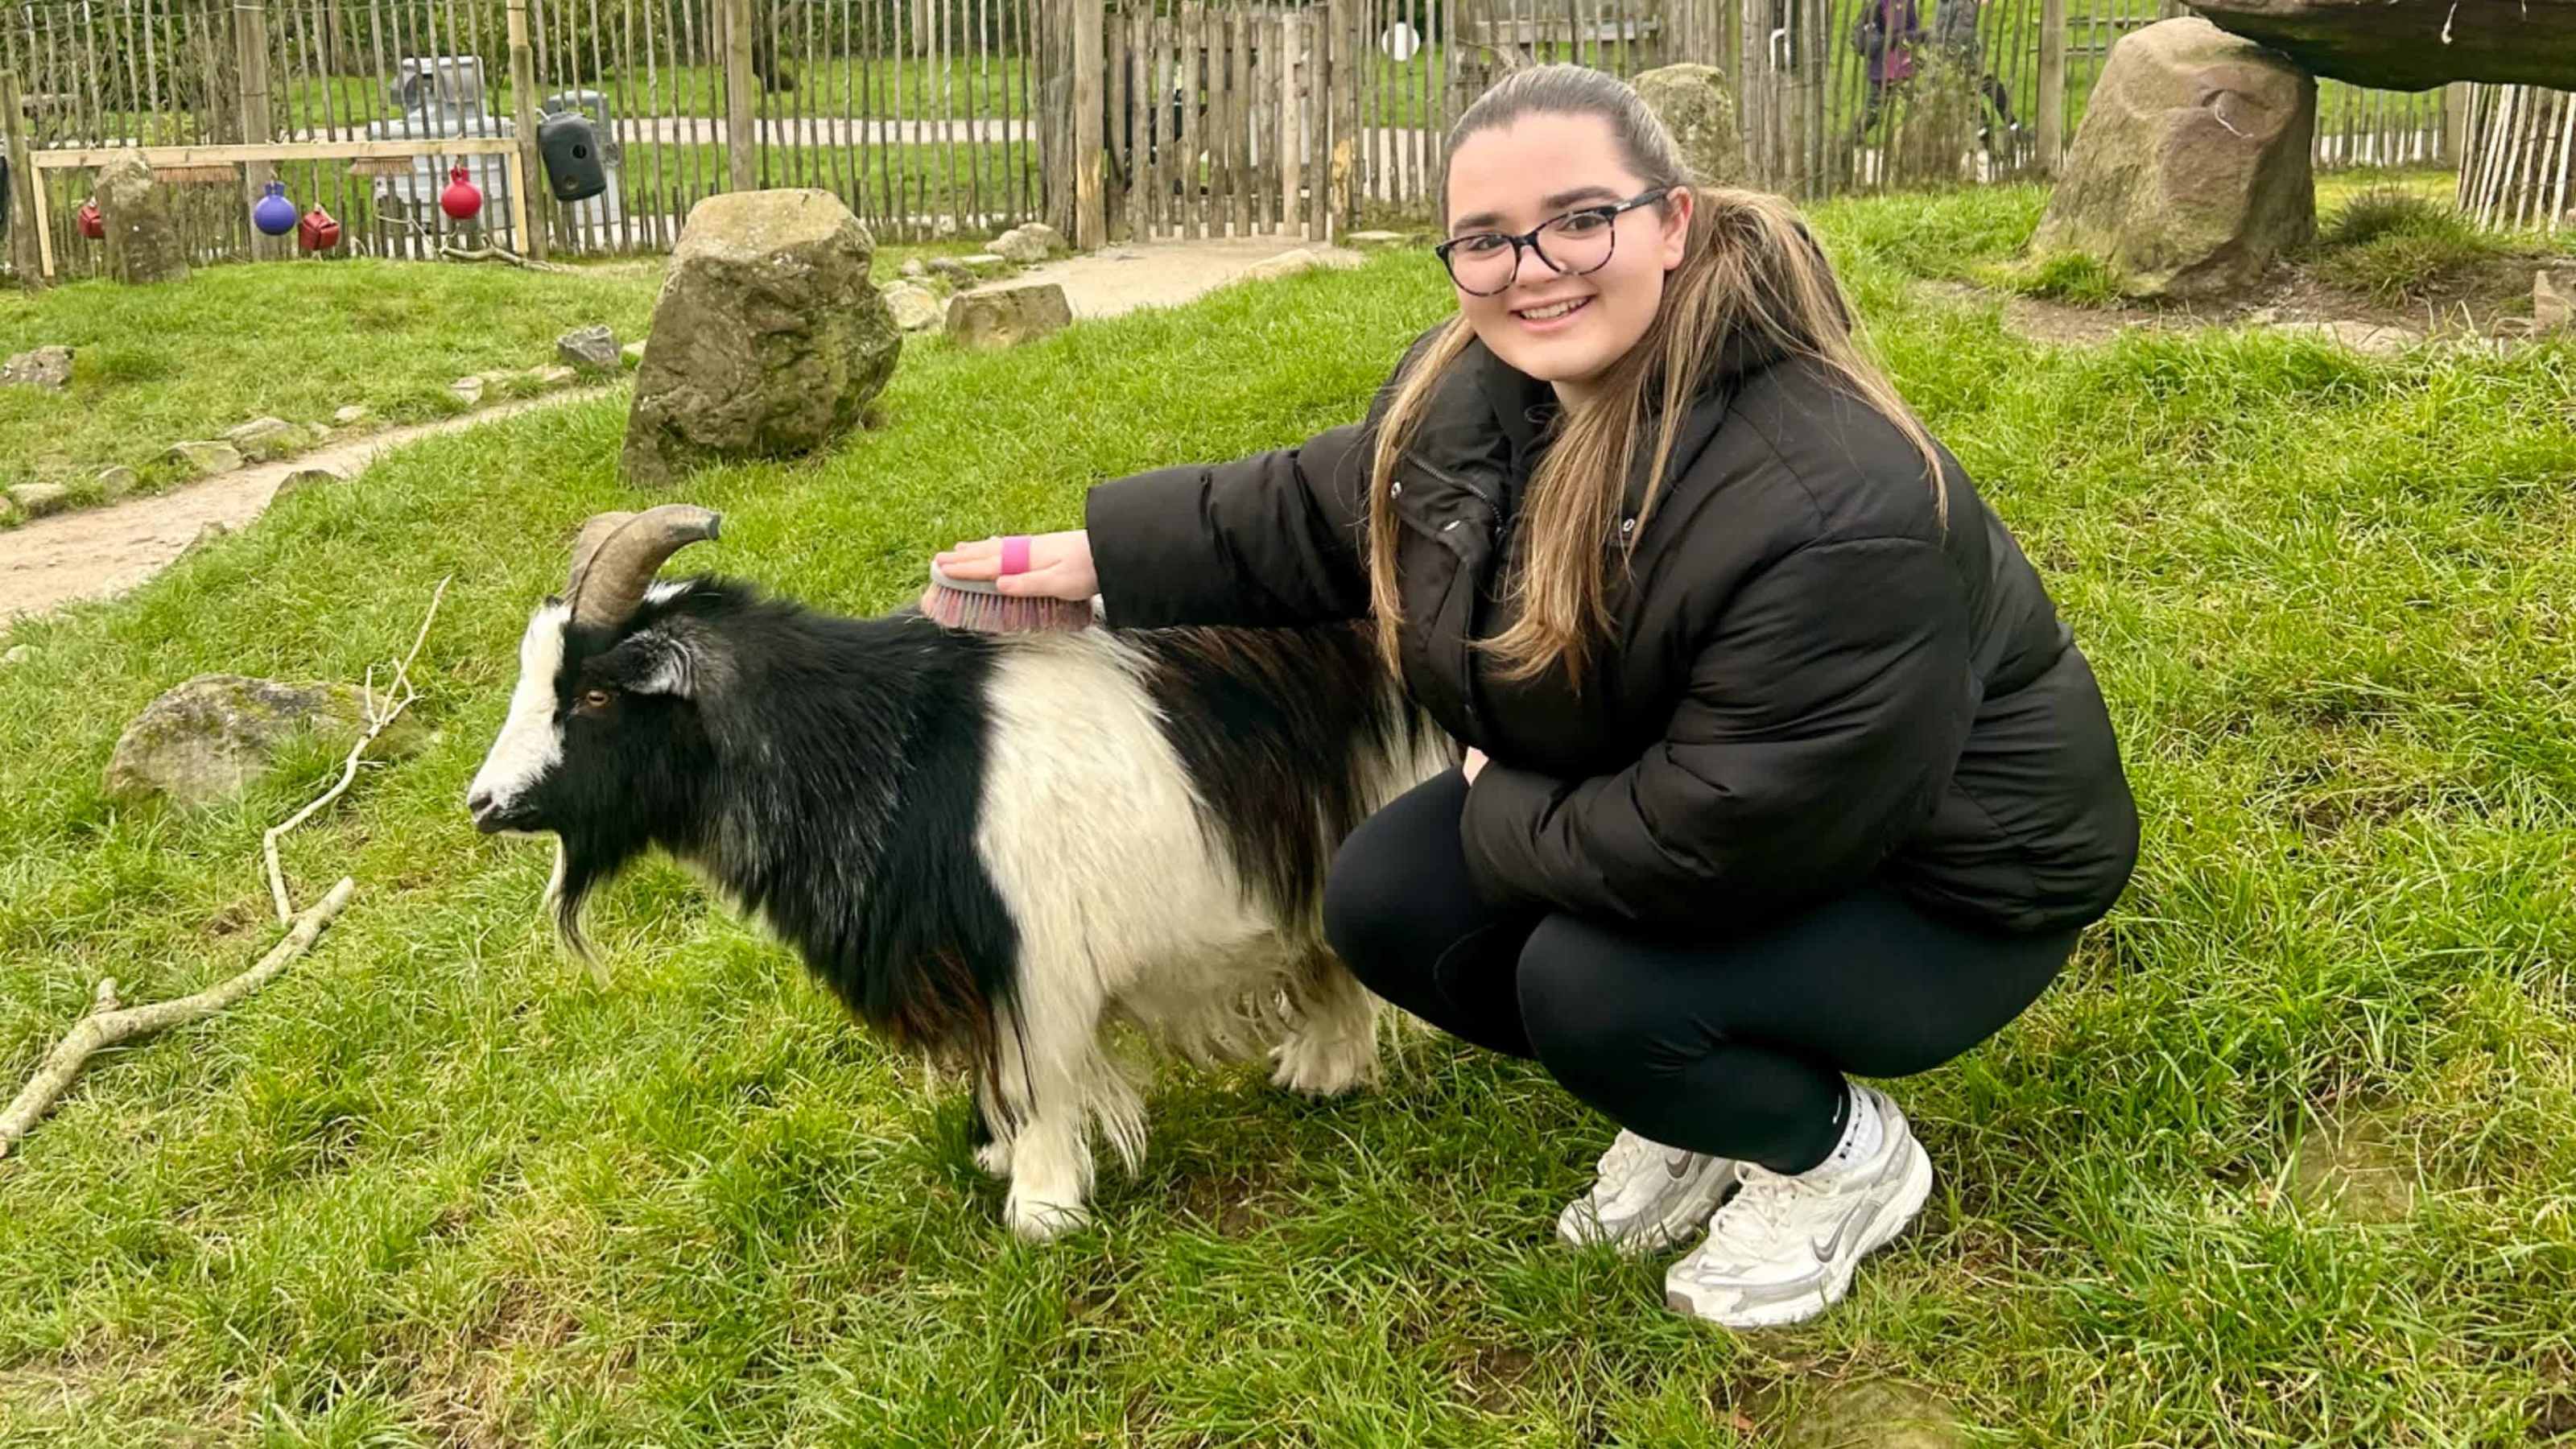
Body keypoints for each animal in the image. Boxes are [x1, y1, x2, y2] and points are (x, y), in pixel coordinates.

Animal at [466, 505, 1455, 1239]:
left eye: (595, 695)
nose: (482, 802)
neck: (886, 748)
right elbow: (994, 1068)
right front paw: (997, 1155)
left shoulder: (1033, 953)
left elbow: (1034, 1072)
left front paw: (1042, 1208)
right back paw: (1322, 1070)